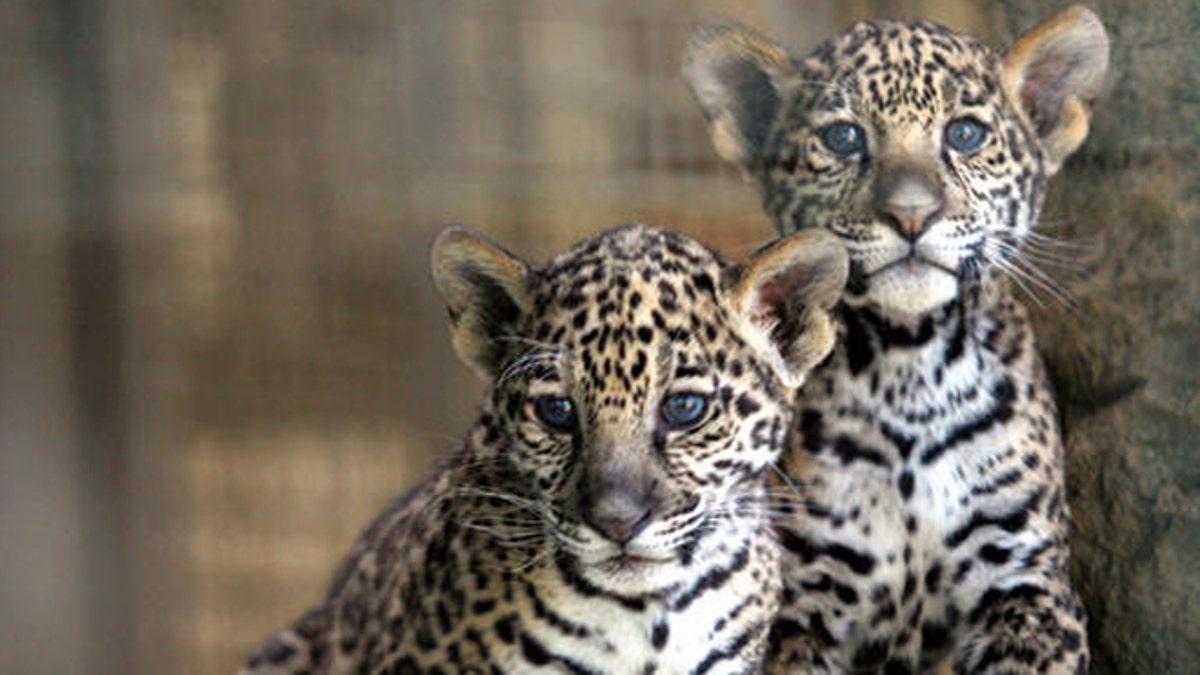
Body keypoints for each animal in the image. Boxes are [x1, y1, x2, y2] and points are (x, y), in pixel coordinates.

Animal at [684, 6, 1108, 674]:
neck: (911, 367)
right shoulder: (802, 600)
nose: (911, 214)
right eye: (843, 138)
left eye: (965, 134)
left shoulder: (1027, 581)